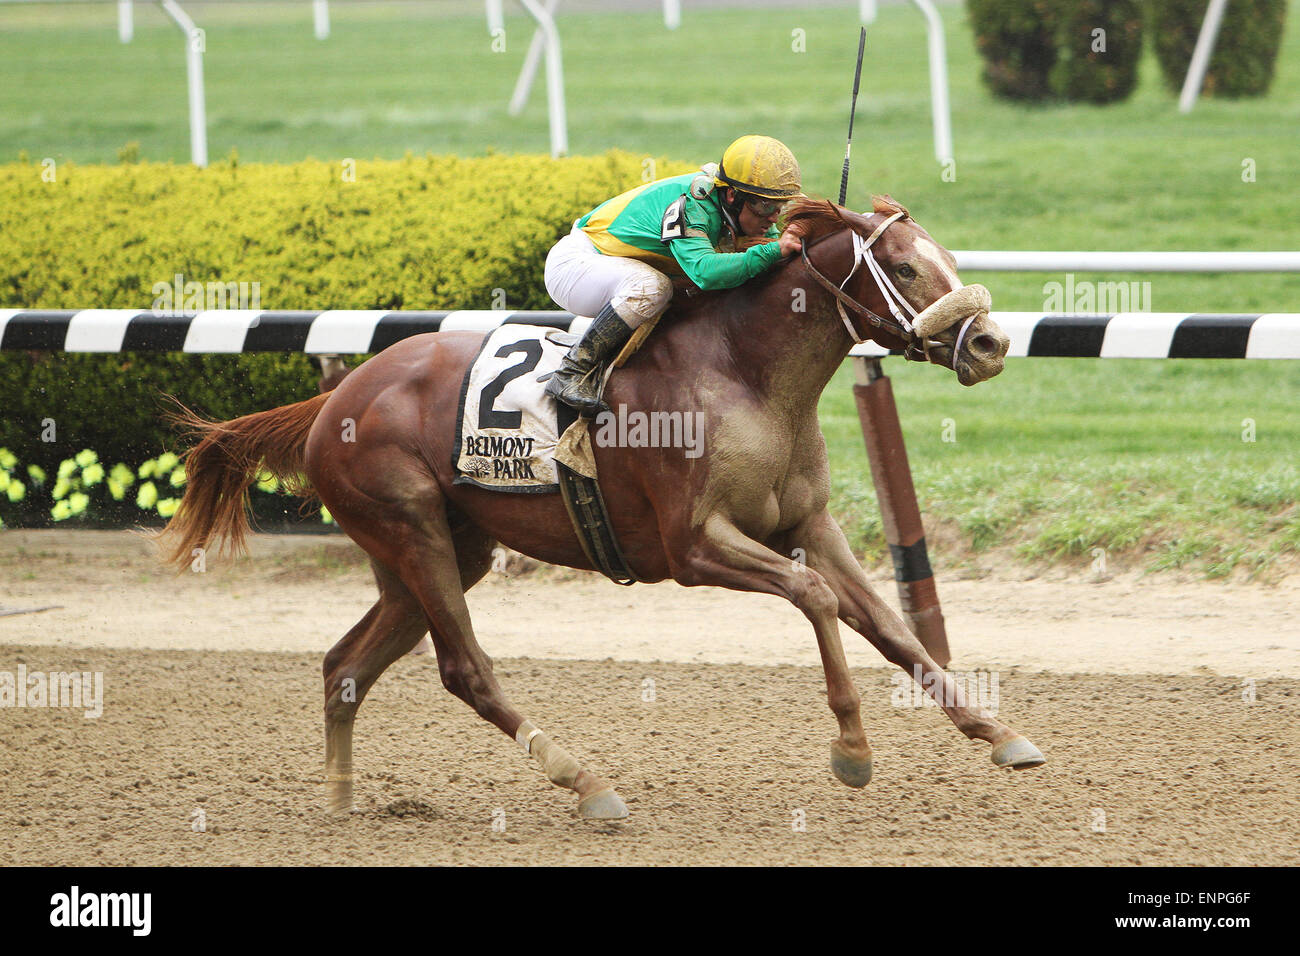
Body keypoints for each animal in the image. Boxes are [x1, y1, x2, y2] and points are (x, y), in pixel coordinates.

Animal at [157, 196, 1045, 822]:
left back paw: (342, 800)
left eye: (946, 256)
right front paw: (852, 750)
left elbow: (891, 627)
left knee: (345, 667)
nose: (991, 344)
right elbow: (818, 599)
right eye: (904, 265)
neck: (746, 373)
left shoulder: (807, 525)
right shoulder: (694, 549)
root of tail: (334, 398)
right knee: (463, 669)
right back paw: (585, 783)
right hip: (411, 533)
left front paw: (1000, 735)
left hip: (436, 551)